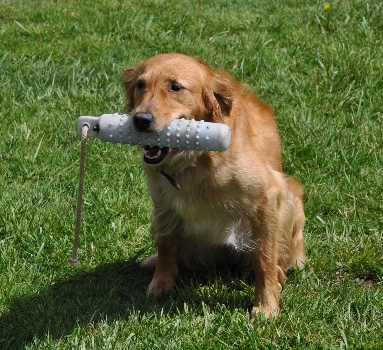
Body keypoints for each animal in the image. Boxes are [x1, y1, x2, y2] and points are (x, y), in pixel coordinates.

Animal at [121, 52, 308, 318]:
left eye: (175, 87)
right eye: (140, 85)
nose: (140, 119)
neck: (196, 160)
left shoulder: (268, 197)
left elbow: (264, 259)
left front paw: (266, 305)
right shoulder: (163, 204)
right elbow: (167, 247)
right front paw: (161, 283)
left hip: (291, 200)